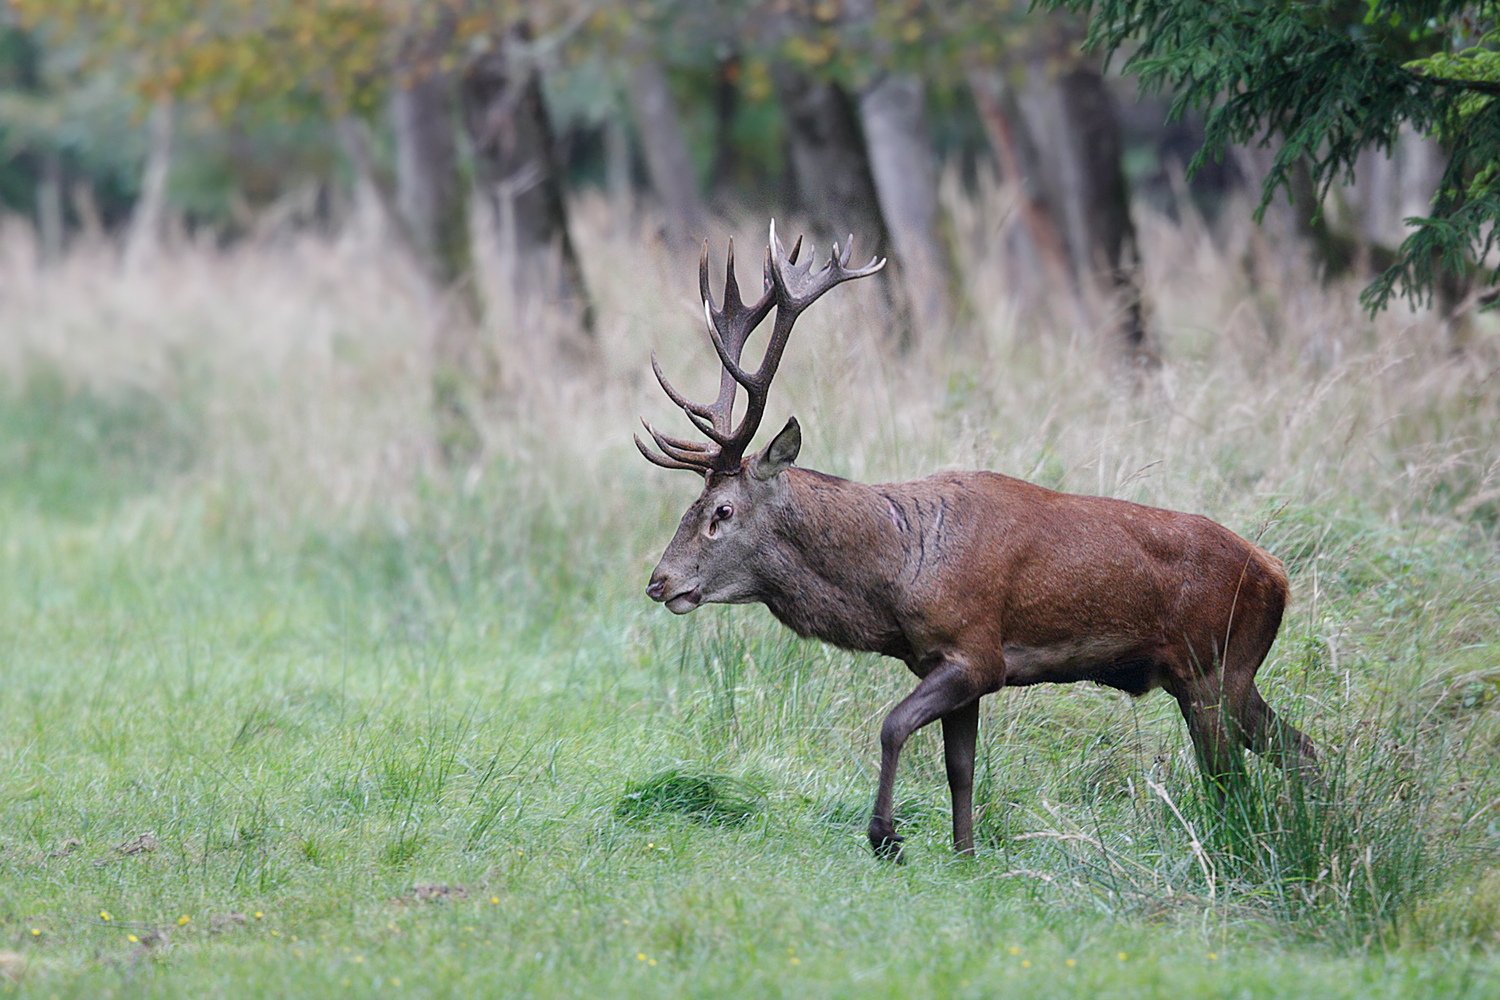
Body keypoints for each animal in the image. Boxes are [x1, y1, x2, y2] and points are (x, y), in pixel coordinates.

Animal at [639, 224, 1320, 863]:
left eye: (722, 511)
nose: (659, 581)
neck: (897, 578)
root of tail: (1278, 576)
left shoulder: (975, 650)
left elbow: (892, 726)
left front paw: (886, 837)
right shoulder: (942, 661)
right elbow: (959, 769)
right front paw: (966, 857)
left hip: (1215, 667)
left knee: (1233, 779)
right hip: (1217, 675)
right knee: (1300, 747)